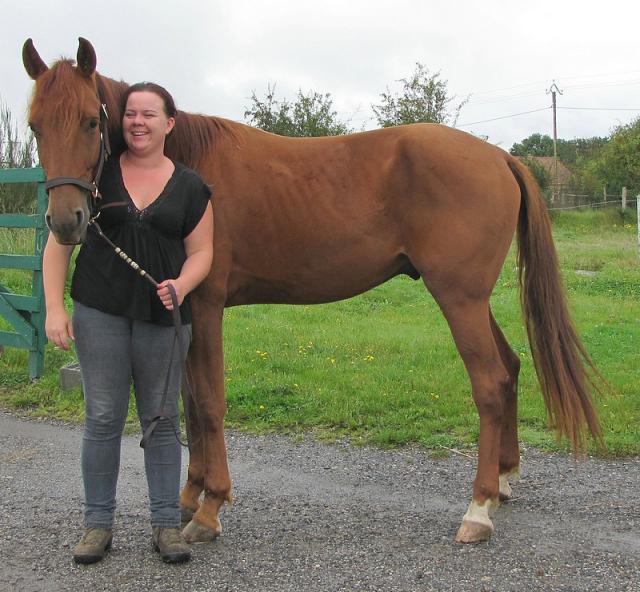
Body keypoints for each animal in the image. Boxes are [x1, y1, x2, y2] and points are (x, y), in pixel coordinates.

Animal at [20, 38, 600, 544]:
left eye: (91, 120)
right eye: (34, 126)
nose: (66, 222)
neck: (184, 160)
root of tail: (499, 157)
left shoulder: (204, 306)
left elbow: (208, 402)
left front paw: (210, 508)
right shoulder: (179, 307)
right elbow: (186, 402)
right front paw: (189, 496)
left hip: (459, 299)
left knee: (490, 383)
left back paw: (477, 510)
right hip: (472, 300)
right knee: (511, 369)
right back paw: (503, 482)